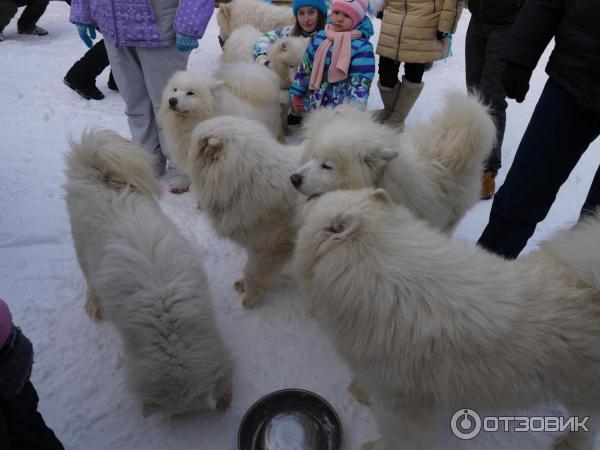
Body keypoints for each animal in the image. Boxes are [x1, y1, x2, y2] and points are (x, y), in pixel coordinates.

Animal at [186, 115, 300, 310]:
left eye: (193, 143)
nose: (185, 151)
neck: (244, 181)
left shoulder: (269, 246)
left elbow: (251, 272)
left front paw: (251, 297)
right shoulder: (254, 243)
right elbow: (249, 268)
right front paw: (244, 286)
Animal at [294, 188, 600, 450]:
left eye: (318, 200)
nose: (305, 191)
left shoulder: (400, 406)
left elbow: (395, 438)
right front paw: (359, 390)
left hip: (583, 395)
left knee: (586, 428)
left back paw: (568, 444)